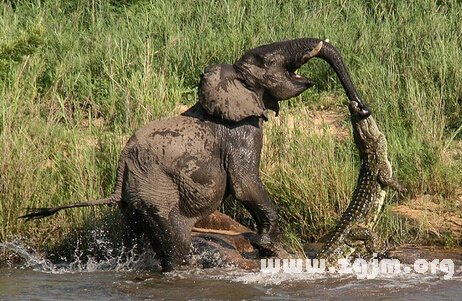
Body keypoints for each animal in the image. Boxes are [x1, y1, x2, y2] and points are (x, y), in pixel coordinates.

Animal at [20, 38, 372, 272]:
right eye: (262, 59)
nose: (361, 108)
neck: (231, 80)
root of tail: (122, 167)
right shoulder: (241, 132)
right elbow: (245, 184)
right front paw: (270, 248)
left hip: (135, 200)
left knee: (134, 236)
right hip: (157, 191)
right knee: (175, 241)